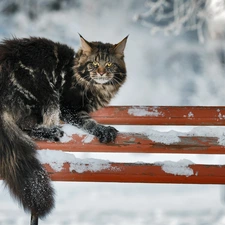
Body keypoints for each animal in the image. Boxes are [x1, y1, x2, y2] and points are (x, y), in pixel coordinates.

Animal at [0, 34, 127, 224]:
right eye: (94, 64)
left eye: (110, 64)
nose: (101, 72)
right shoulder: (69, 107)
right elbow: (88, 122)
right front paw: (103, 130)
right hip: (46, 92)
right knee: (25, 127)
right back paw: (52, 132)